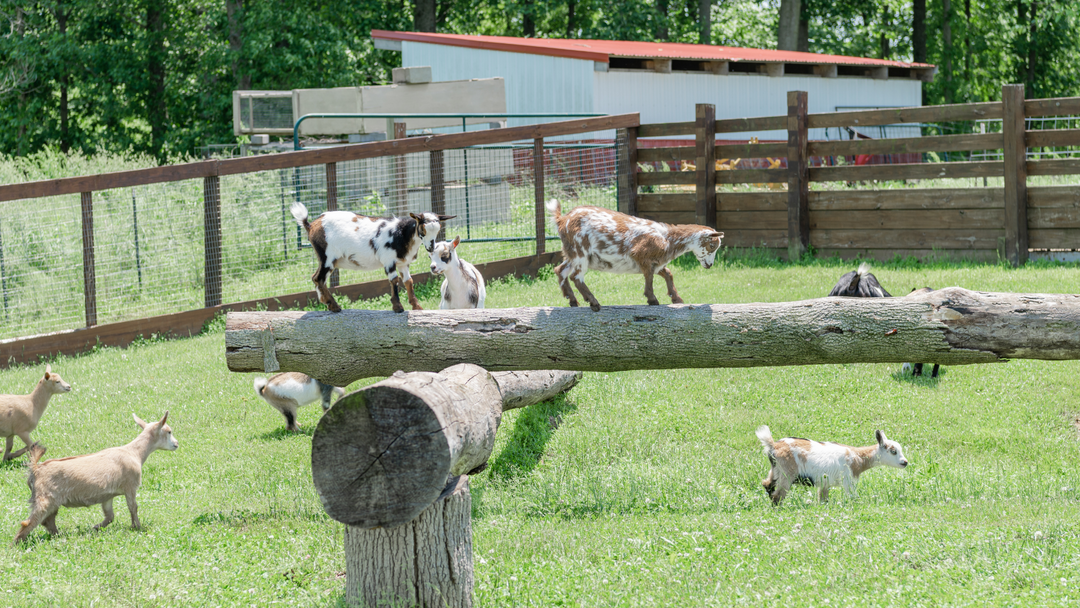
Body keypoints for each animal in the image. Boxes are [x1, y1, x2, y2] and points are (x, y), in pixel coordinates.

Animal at [13, 412, 178, 544]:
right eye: (169, 431)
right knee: (30, 522)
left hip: (52, 500)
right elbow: (133, 508)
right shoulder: (131, 486)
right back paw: (16, 544)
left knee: (48, 521)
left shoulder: (107, 496)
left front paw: (96, 527)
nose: (176, 444)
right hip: (45, 498)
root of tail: (36, 468)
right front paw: (137, 527)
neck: (134, 453)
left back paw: (59, 536)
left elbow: (110, 516)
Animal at [289, 204, 453, 313]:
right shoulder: (388, 260)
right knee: (318, 278)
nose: (431, 247)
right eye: (423, 228)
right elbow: (394, 281)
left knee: (317, 278)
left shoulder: (403, 263)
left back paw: (327, 303)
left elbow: (409, 281)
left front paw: (417, 307)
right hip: (327, 256)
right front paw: (398, 307)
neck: (401, 233)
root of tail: (311, 225)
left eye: (438, 229)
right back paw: (334, 306)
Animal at [544, 200, 721, 311]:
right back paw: (593, 302)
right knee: (576, 276)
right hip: (580, 250)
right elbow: (649, 277)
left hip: (571, 253)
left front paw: (676, 299)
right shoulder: (641, 256)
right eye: (712, 246)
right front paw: (652, 300)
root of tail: (562, 219)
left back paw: (572, 300)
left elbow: (667, 273)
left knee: (560, 270)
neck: (667, 238)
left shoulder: (656, 262)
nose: (710, 265)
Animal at [756, 425, 907, 507]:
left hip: (776, 470)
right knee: (778, 495)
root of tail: (773, 446)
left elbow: (823, 500)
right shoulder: (848, 481)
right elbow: (853, 497)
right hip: (787, 473)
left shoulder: (824, 483)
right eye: (893, 451)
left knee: (767, 484)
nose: (905, 462)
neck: (857, 457)